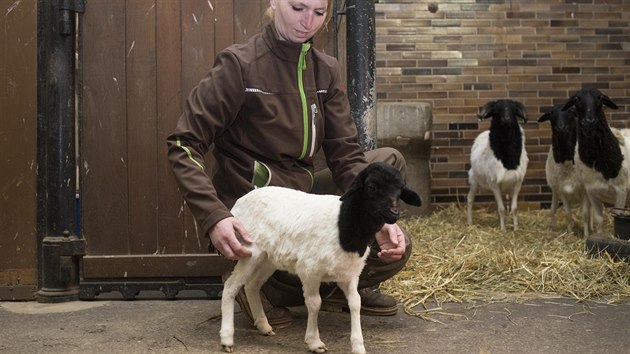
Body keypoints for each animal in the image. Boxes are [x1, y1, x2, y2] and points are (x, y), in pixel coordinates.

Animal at [220, 162, 422, 354]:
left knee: (251, 285)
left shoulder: (349, 274)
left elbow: (355, 302)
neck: (345, 226)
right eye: (372, 187)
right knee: (231, 285)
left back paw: (263, 325)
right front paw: (314, 342)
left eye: (400, 190)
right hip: (248, 250)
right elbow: (314, 303)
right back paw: (227, 338)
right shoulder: (309, 270)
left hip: (268, 258)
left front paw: (358, 346)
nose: (394, 213)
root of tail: (238, 203)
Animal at [470, 100, 528, 232]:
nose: (506, 119)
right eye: (496, 111)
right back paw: (469, 222)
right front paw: (503, 229)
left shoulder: (517, 183)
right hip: (474, 181)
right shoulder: (494, 184)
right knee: (469, 199)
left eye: (514, 110)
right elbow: (501, 209)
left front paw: (515, 228)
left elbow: (514, 208)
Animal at [540, 103, 588, 234]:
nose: (561, 128)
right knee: (553, 208)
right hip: (555, 190)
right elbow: (568, 214)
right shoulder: (562, 191)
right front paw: (570, 233)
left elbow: (585, 214)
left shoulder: (584, 190)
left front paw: (587, 235)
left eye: (571, 111)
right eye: (551, 113)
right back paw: (553, 226)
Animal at [564, 88, 630, 238]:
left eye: (600, 98)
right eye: (576, 99)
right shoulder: (592, 192)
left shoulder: (621, 191)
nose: (589, 122)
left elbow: (617, 216)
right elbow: (598, 220)